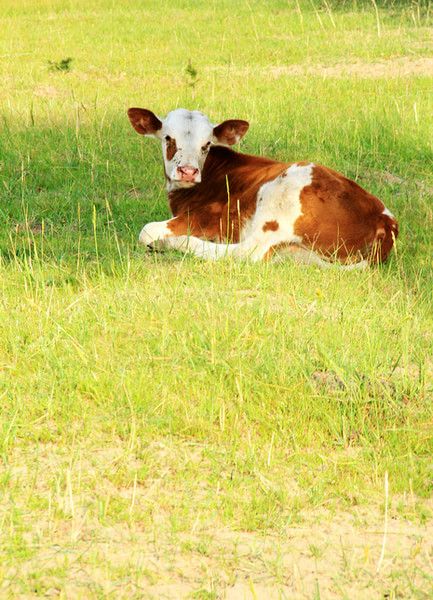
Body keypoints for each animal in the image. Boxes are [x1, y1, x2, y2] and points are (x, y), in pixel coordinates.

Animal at [126, 107, 396, 268]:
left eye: (207, 144)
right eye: (168, 138)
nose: (188, 172)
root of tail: (383, 219)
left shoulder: (214, 216)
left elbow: (146, 230)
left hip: (277, 203)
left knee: (246, 253)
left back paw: (171, 244)